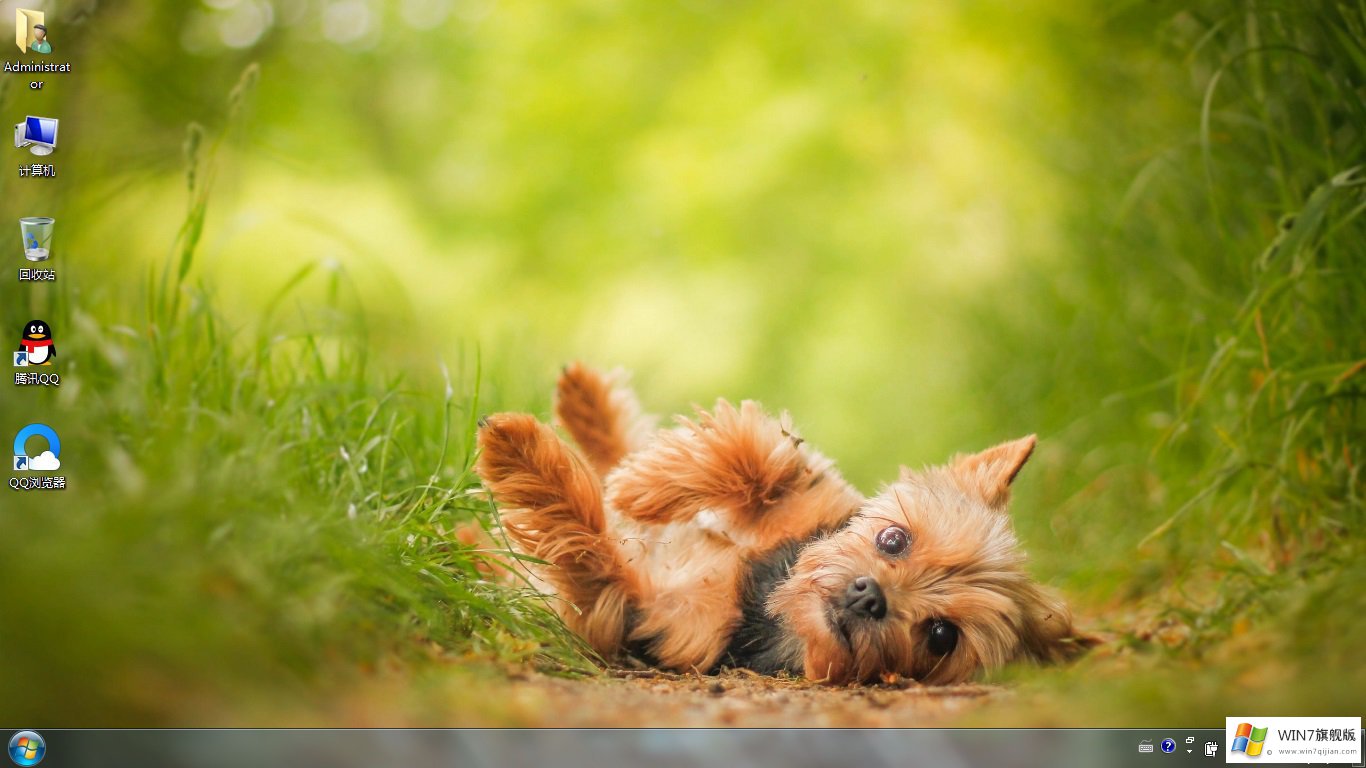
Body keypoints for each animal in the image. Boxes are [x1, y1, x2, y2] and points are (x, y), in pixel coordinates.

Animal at [475, 363, 1092, 680]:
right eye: (894, 539)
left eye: (941, 636)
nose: (871, 597)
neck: (764, 599)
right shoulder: (805, 499)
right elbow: (762, 457)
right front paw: (645, 485)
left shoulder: (630, 610)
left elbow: (586, 542)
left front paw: (519, 452)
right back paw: (586, 402)